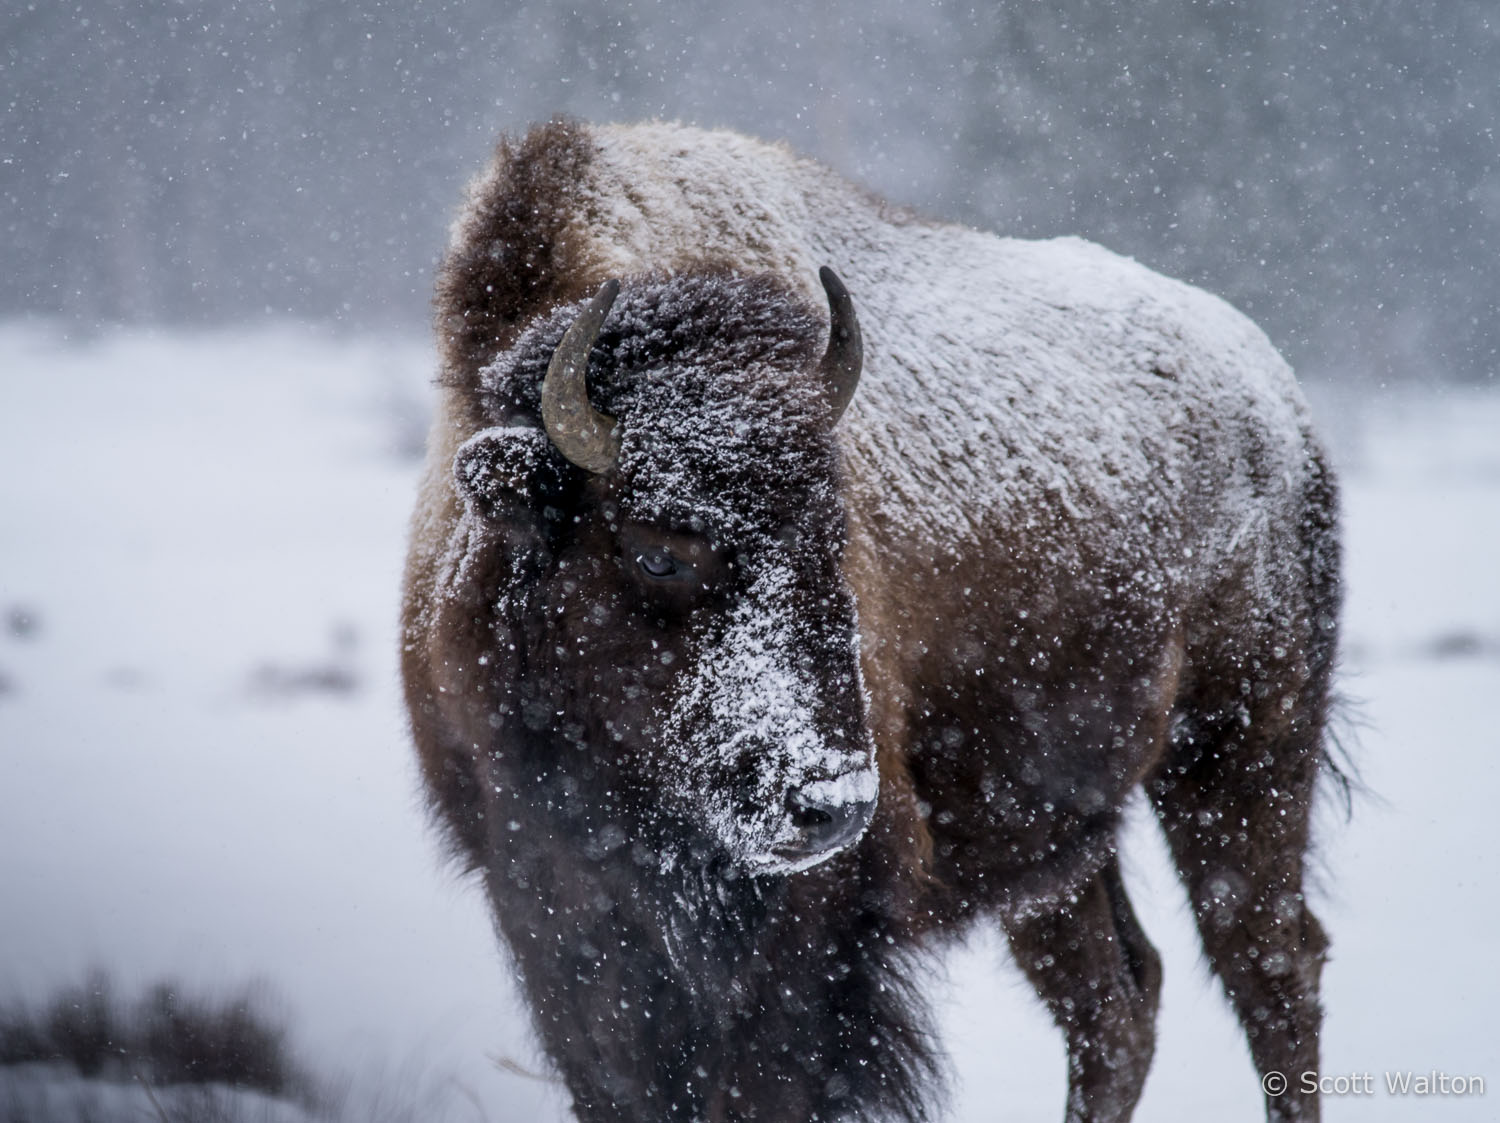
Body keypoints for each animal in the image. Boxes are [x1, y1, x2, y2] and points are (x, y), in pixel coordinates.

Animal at [399, 118, 1338, 1115]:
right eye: (656, 548)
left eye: (837, 531)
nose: (830, 801)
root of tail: (1281, 407)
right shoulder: (553, 916)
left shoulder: (812, 943)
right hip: (1055, 842)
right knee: (1117, 999)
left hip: (1241, 758)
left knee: (1273, 968)